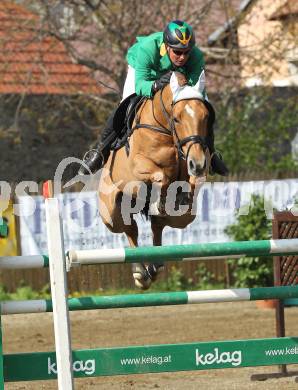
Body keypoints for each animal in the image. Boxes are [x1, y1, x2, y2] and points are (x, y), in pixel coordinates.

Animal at [98, 71, 210, 290]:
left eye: (206, 117)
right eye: (176, 118)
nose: (198, 163)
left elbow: (194, 181)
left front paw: (180, 197)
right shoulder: (139, 167)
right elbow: (160, 176)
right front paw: (161, 200)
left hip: (179, 220)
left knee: (157, 225)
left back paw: (154, 265)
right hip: (111, 214)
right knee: (129, 228)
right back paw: (140, 273)